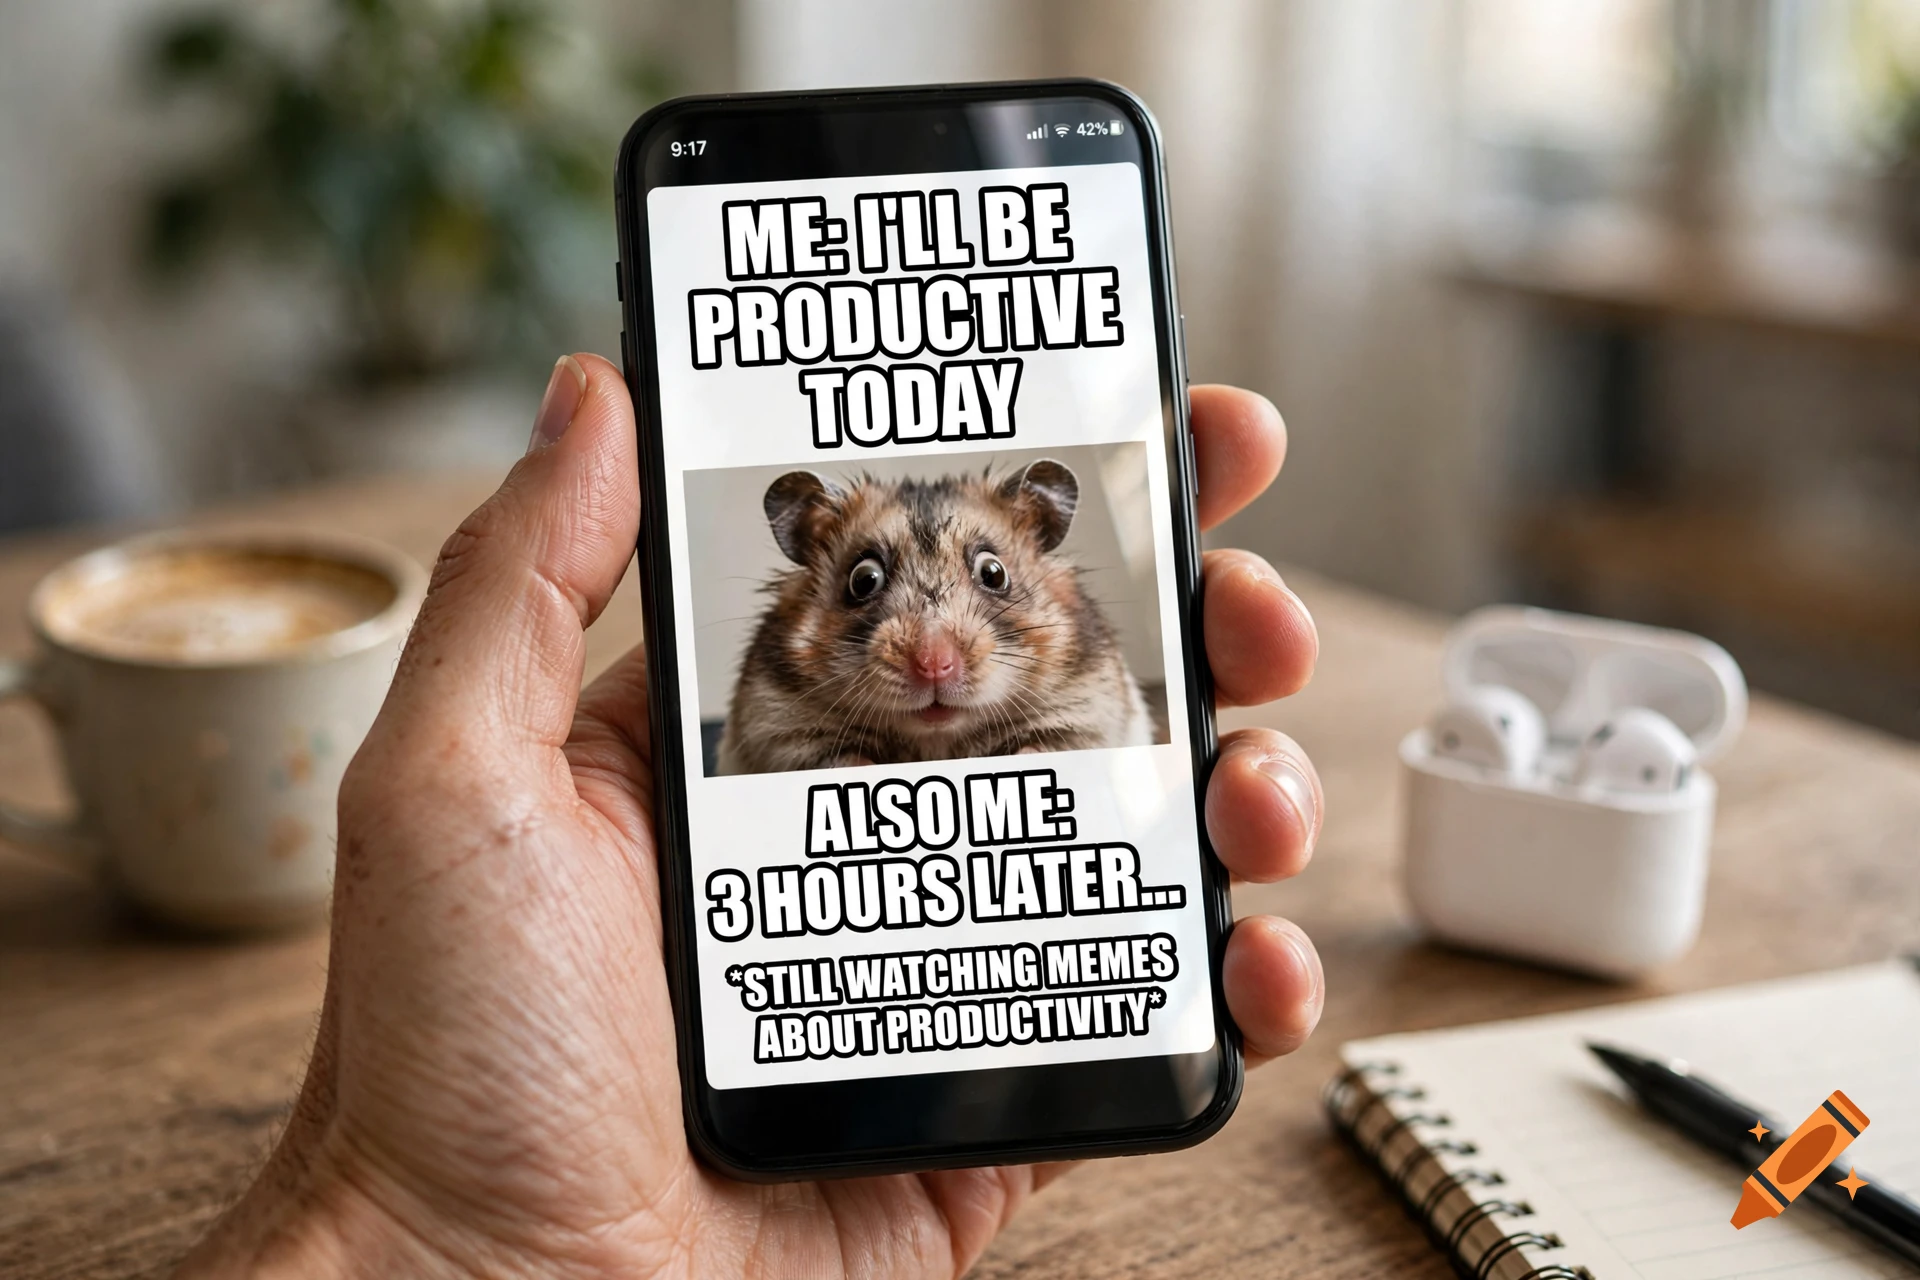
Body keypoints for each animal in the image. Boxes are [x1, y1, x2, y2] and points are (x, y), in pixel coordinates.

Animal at [716, 459, 1154, 774]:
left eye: (994, 573)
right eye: (863, 580)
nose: (934, 666)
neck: (936, 740)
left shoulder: (1085, 716)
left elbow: (1043, 746)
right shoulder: (779, 732)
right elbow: (842, 758)